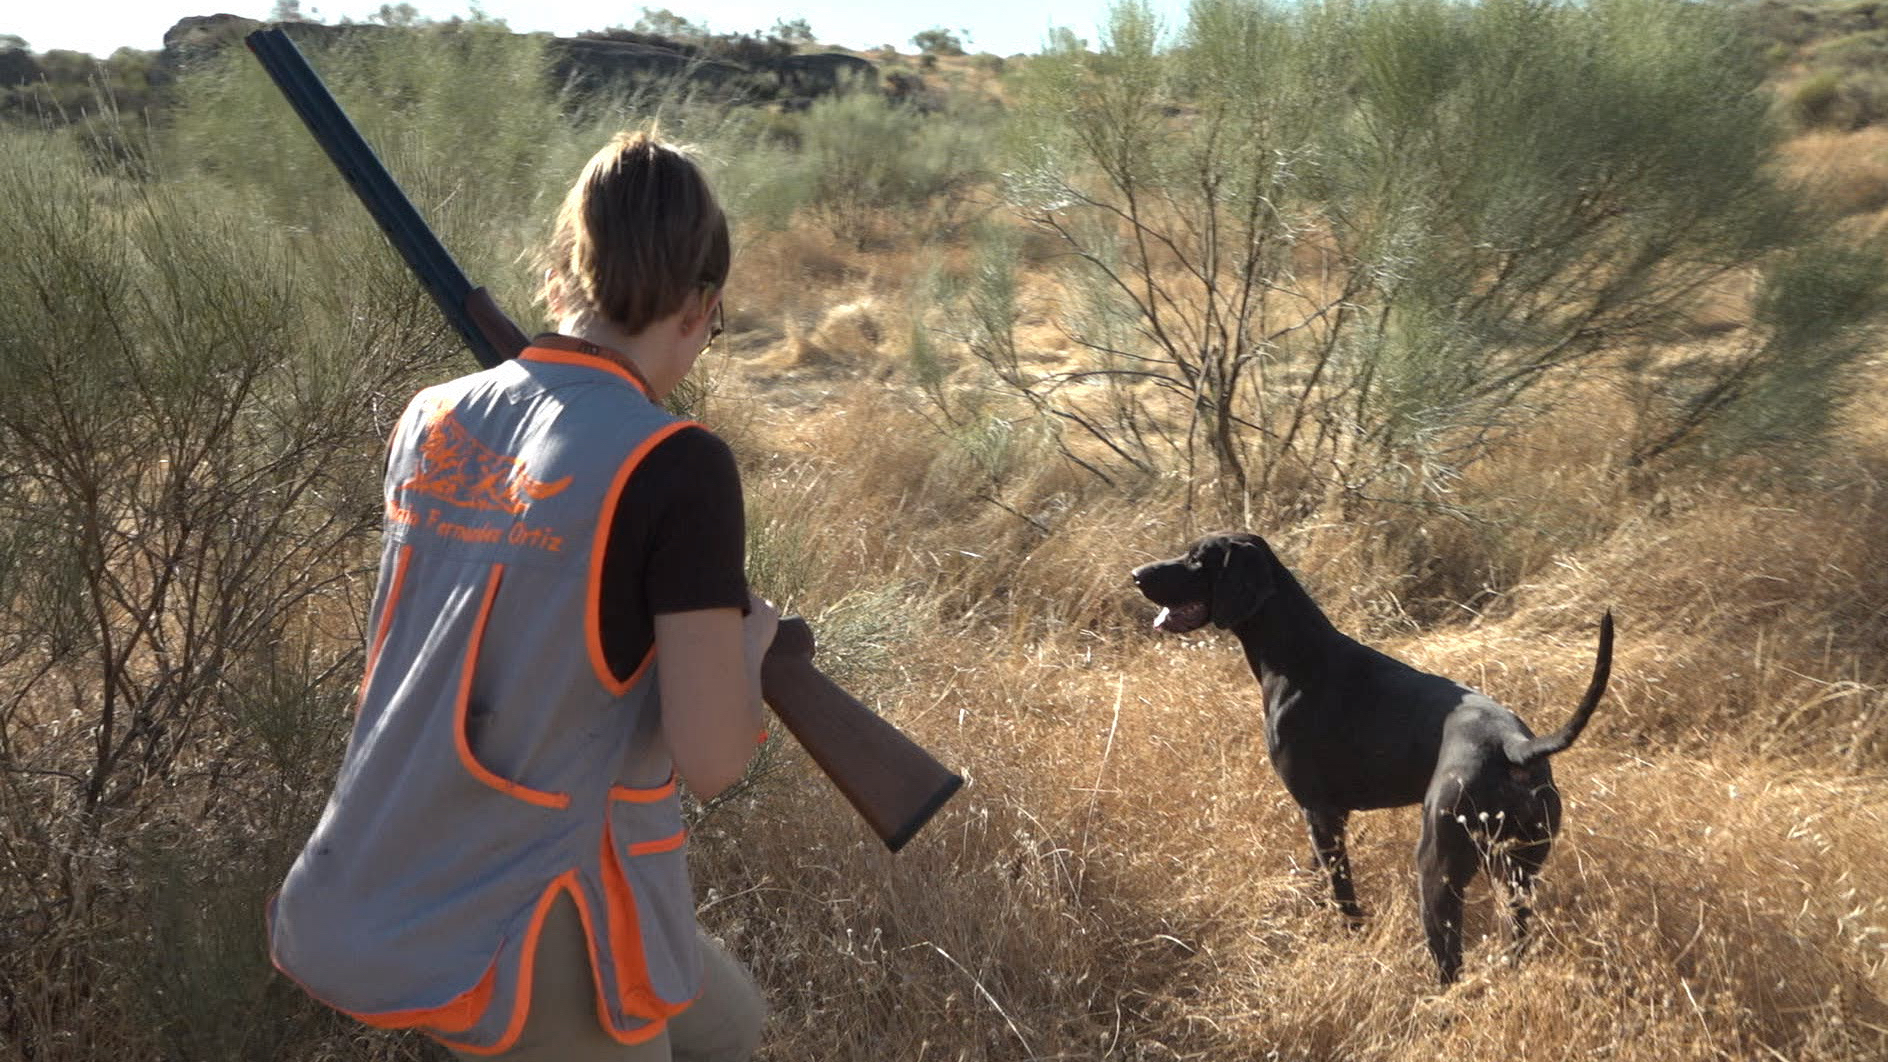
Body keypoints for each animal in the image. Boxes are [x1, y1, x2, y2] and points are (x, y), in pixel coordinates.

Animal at [1125, 532, 1616, 982]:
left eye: (1196, 558)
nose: (1136, 575)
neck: (1298, 656)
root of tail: (1515, 745)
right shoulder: (1329, 816)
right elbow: (1321, 876)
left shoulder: (1319, 812)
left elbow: (1343, 892)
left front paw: (1349, 938)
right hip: (1519, 870)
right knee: (1516, 937)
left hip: (1438, 867)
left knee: (1449, 959)